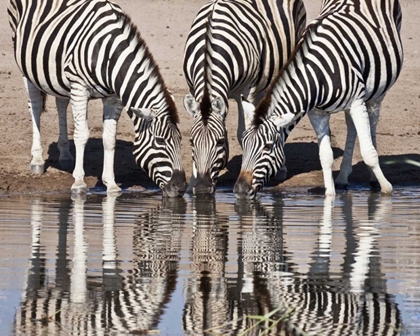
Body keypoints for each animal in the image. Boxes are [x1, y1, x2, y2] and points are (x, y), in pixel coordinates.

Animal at [6, 0, 187, 197]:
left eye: (180, 140)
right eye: (160, 141)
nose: (181, 188)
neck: (108, 55)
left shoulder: (113, 97)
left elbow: (109, 139)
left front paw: (112, 185)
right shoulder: (79, 87)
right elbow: (81, 135)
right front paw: (78, 183)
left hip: (59, 76)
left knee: (61, 101)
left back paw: (65, 155)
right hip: (26, 64)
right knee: (36, 105)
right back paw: (37, 160)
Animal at [183, 0, 306, 196]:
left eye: (219, 142)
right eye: (191, 141)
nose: (202, 189)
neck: (210, 47)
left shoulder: (248, 90)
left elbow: (244, 133)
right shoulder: (193, 89)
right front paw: (191, 185)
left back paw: (281, 169)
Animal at [233, 0, 404, 198]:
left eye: (267, 147)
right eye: (244, 144)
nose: (240, 189)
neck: (317, 75)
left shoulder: (356, 103)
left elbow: (369, 153)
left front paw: (386, 189)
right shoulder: (317, 113)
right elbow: (325, 156)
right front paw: (329, 195)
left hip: (376, 91)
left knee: (373, 123)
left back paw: (373, 178)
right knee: (351, 127)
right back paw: (343, 178)